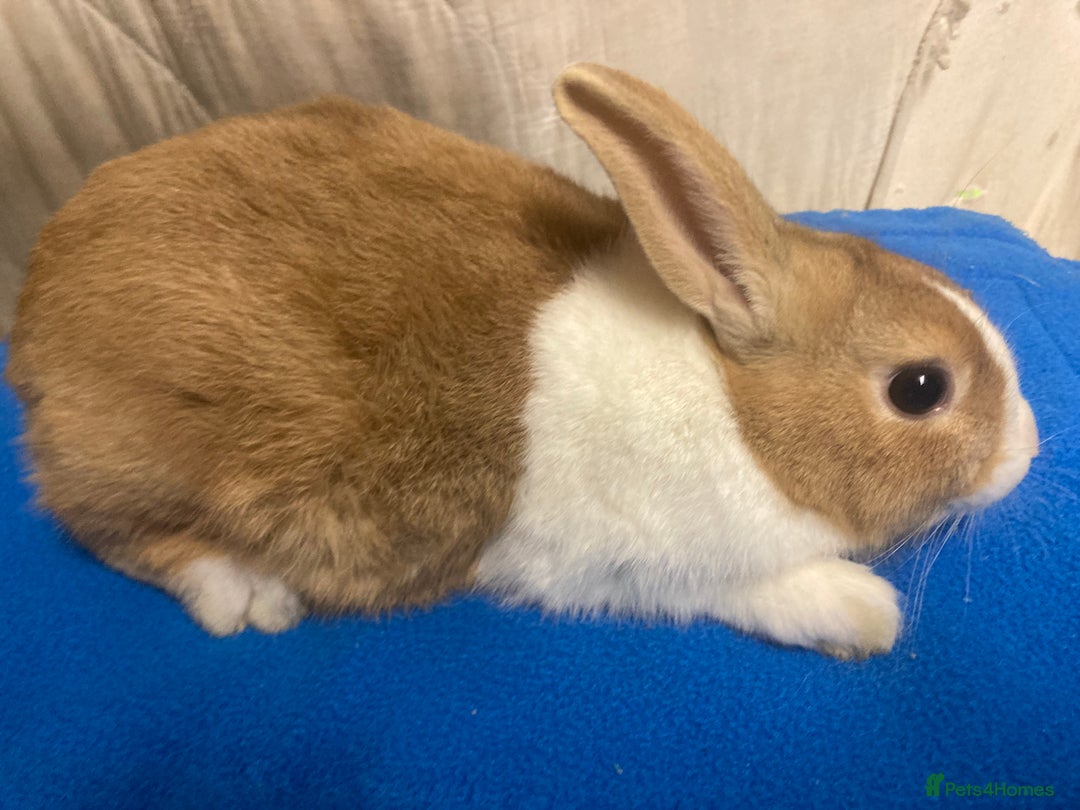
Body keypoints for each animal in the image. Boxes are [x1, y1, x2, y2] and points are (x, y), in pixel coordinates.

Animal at [5, 63, 1038, 658]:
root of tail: (37, 310)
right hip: (153, 458)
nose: (1027, 452)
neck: (737, 410)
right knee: (105, 528)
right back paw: (248, 595)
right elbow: (761, 588)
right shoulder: (643, 567)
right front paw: (866, 615)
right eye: (919, 388)